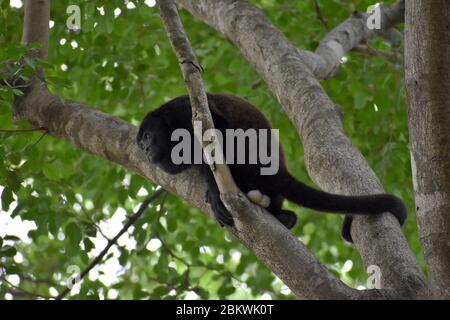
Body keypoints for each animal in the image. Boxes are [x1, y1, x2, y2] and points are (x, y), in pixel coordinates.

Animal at [135, 93, 406, 242]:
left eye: (147, 136)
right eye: (140, 143)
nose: (145, 150)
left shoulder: (182, 110)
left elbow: (217, 128)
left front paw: (214, 194)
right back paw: (282, 216)